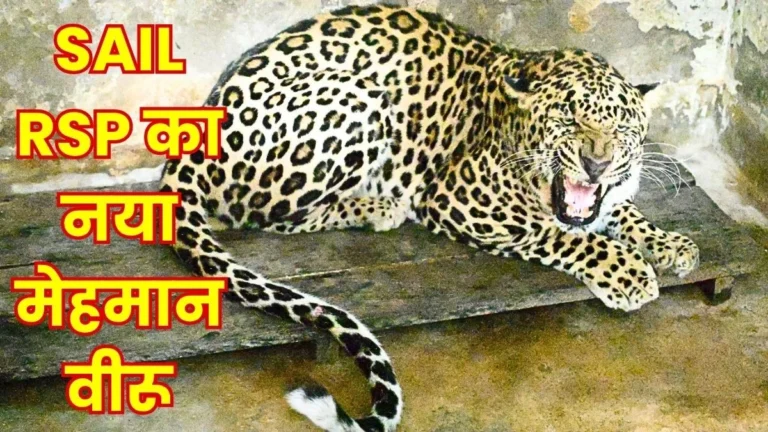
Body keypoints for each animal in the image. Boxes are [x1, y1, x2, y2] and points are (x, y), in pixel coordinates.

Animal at [159, 4, 700, 431]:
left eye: (623, 127)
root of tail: (195, 130)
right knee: (261, 214)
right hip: (360, 101)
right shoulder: (464, 197)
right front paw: (628, 273)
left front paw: (672, 244)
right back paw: (378, 206)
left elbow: (623, 213)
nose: (596, 162)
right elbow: (560, 234)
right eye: (569, 118)